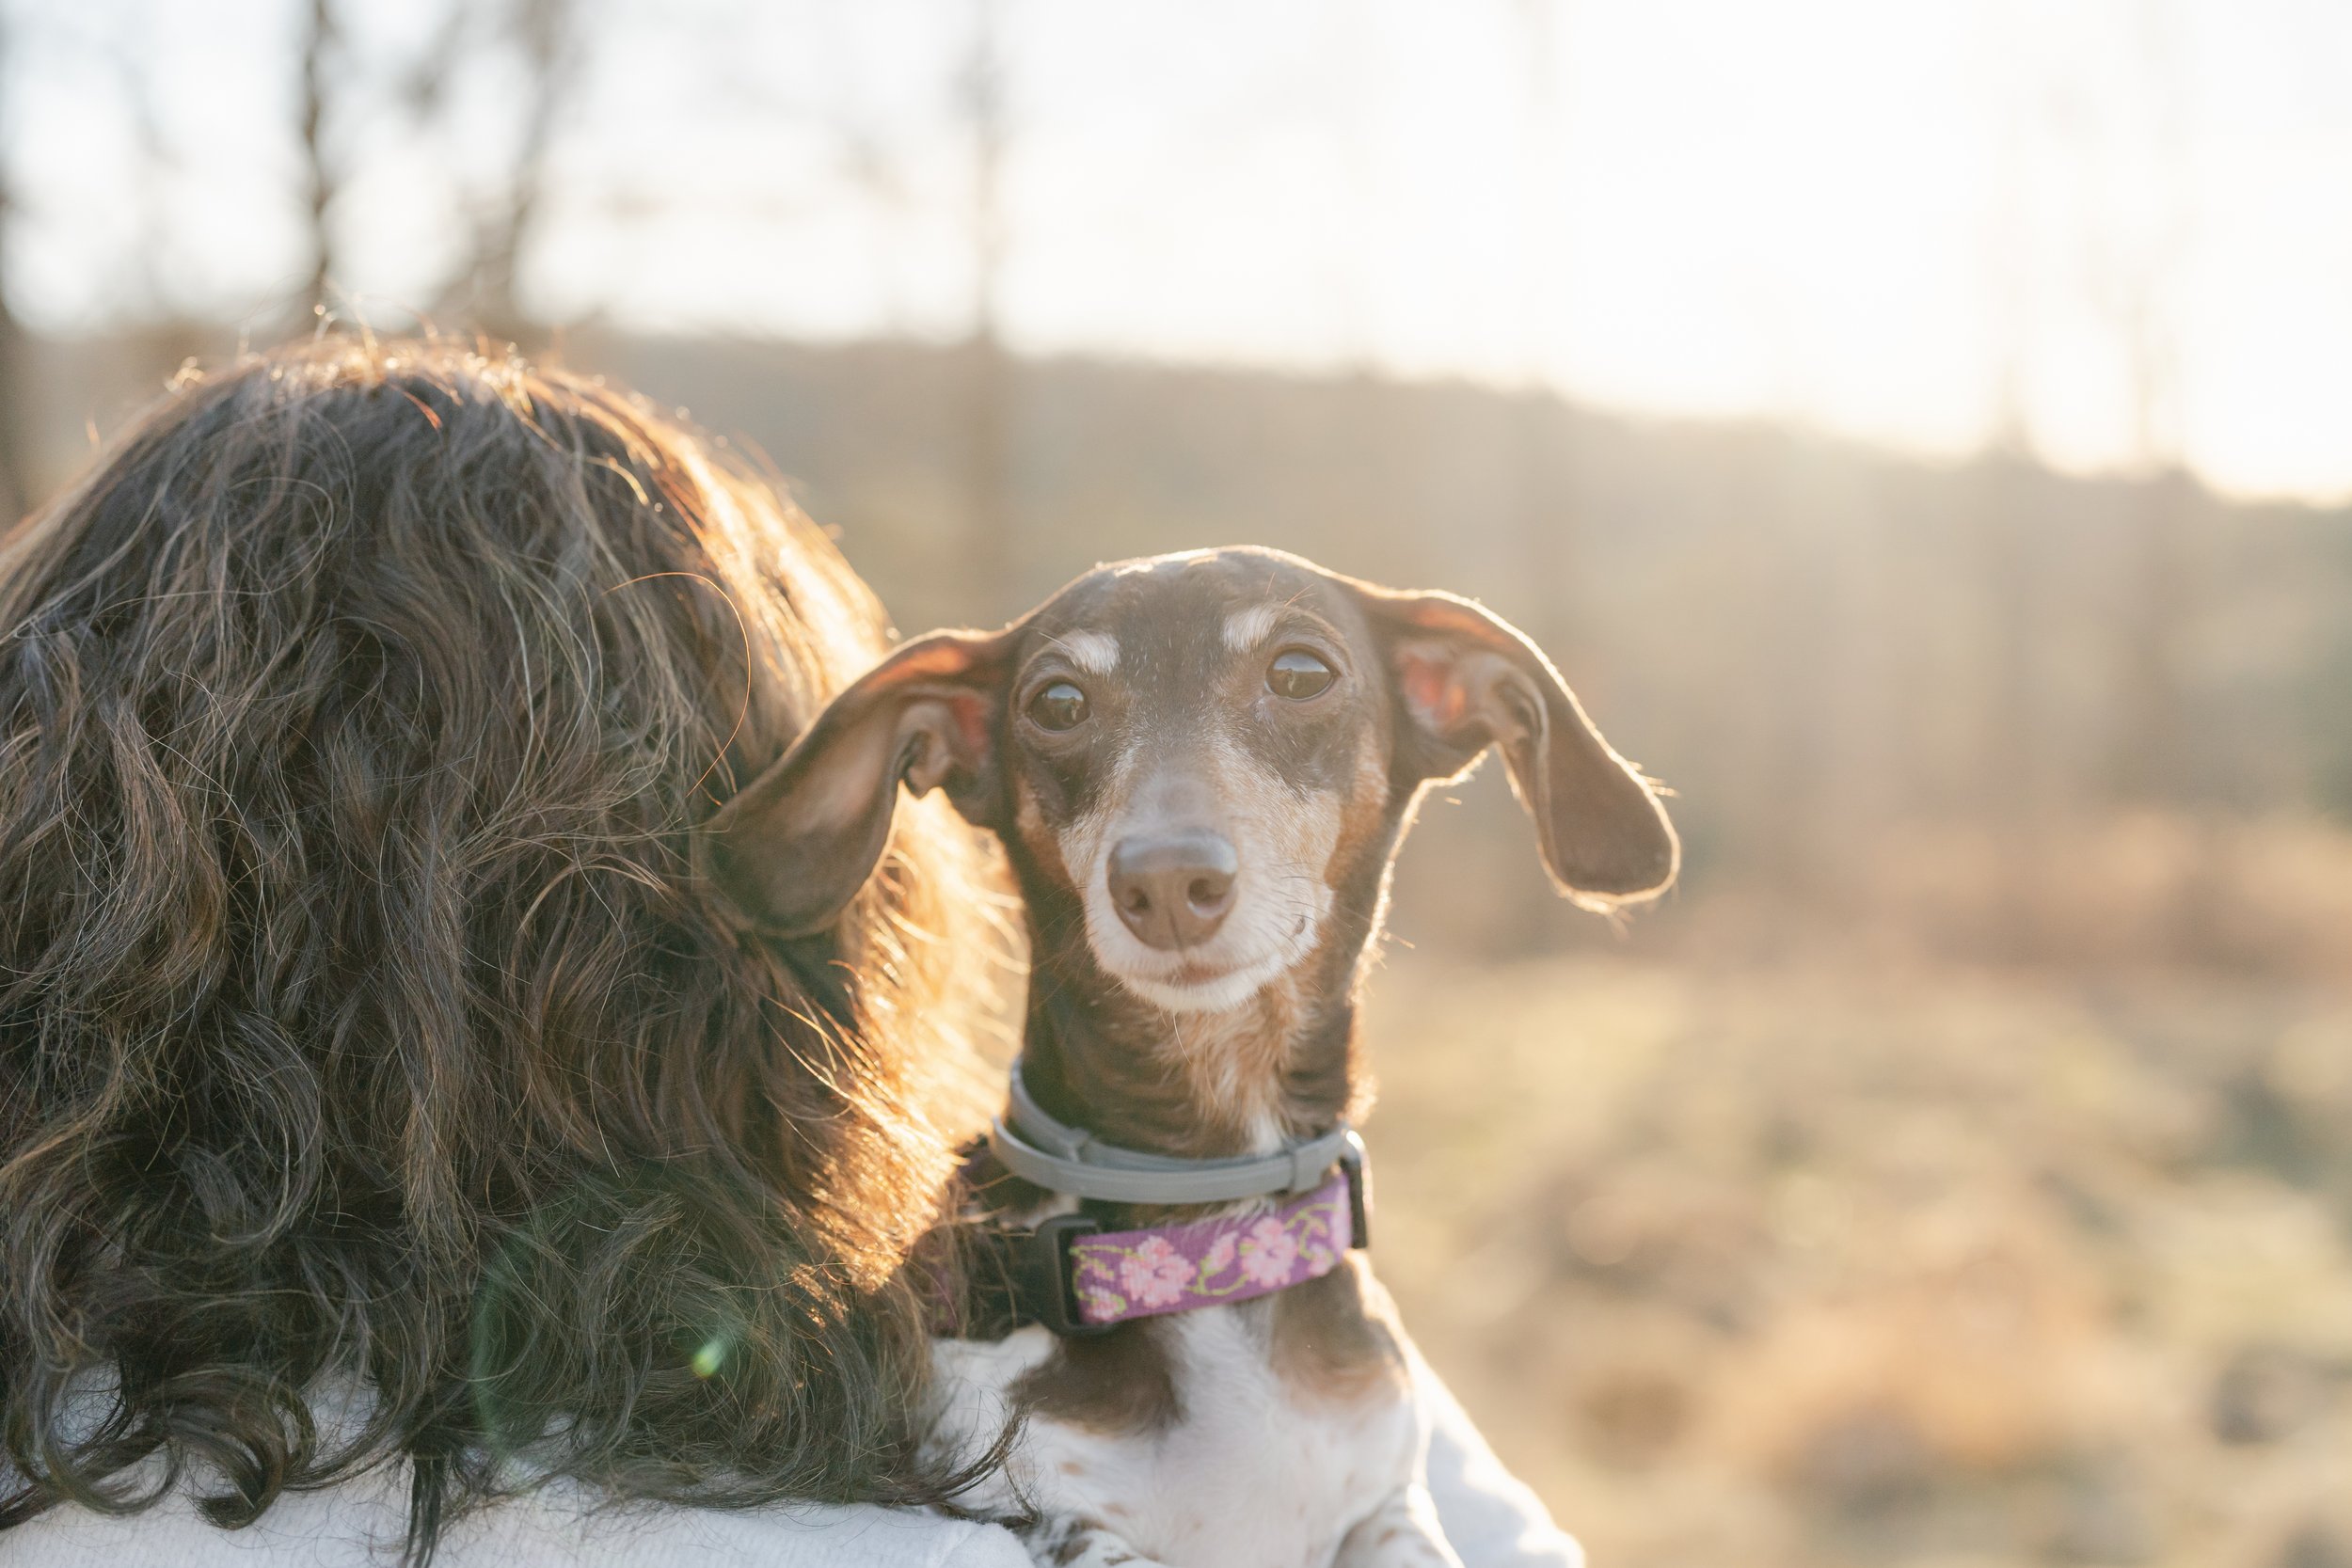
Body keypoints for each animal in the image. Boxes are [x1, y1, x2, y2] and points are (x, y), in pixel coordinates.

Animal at [696, 549, 1675, 1568]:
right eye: (1055, 701)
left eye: (1300, 673)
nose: (1165, 881)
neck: (1207, 1230)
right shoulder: (1047, 1509)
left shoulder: (1386, 1498)